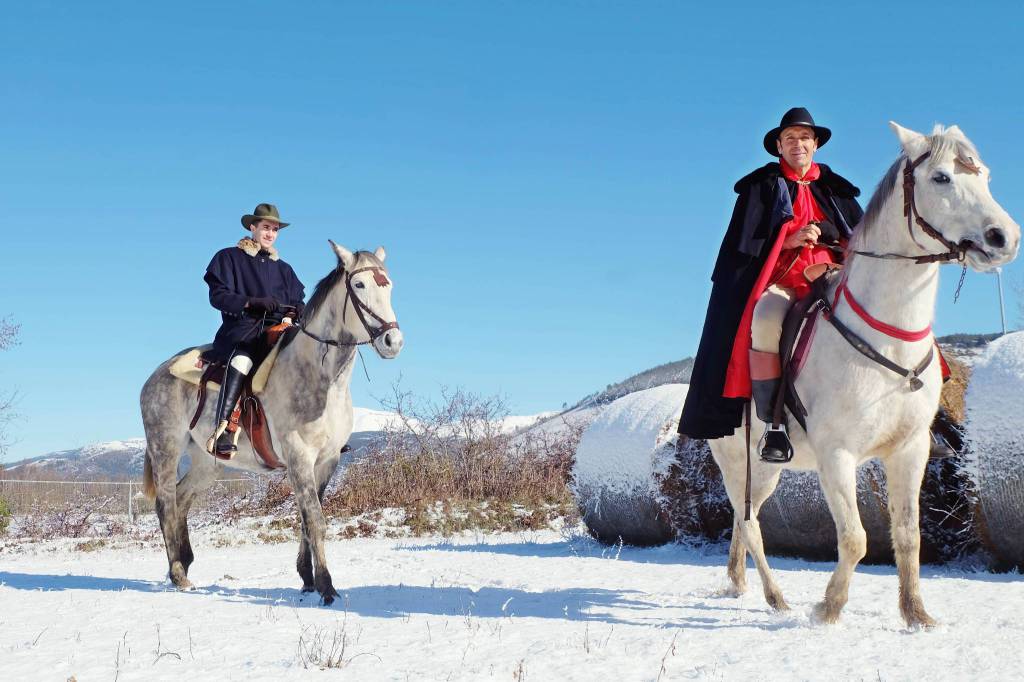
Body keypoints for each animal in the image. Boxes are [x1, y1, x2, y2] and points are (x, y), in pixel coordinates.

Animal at [138, 241, 401, 602]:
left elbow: (307, 519)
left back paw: (185, 562)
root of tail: (155, 376)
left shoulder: (327, 461)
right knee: (165, 503)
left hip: (207, 462)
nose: (393, 341)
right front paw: (326, 586)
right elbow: (315, 519)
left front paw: (307, 577)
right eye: (359, 285)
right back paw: (178, 574)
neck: (321, 379)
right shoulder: (299, 457)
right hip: (166, 448)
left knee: (181, 499)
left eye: (388, 286)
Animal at [712, 122, 1015, 622]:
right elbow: (855, 539)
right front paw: (828, 608)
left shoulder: (911, 451)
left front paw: (916, 614)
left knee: (743, 521)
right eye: (941, 178)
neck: (890, 334)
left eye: (986, 176)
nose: (1003, 238)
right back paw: (776, 597)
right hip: (740, 462)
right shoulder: (837, 455)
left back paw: (739, 583)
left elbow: (908, 536)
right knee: (751, 525)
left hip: (763, 472)